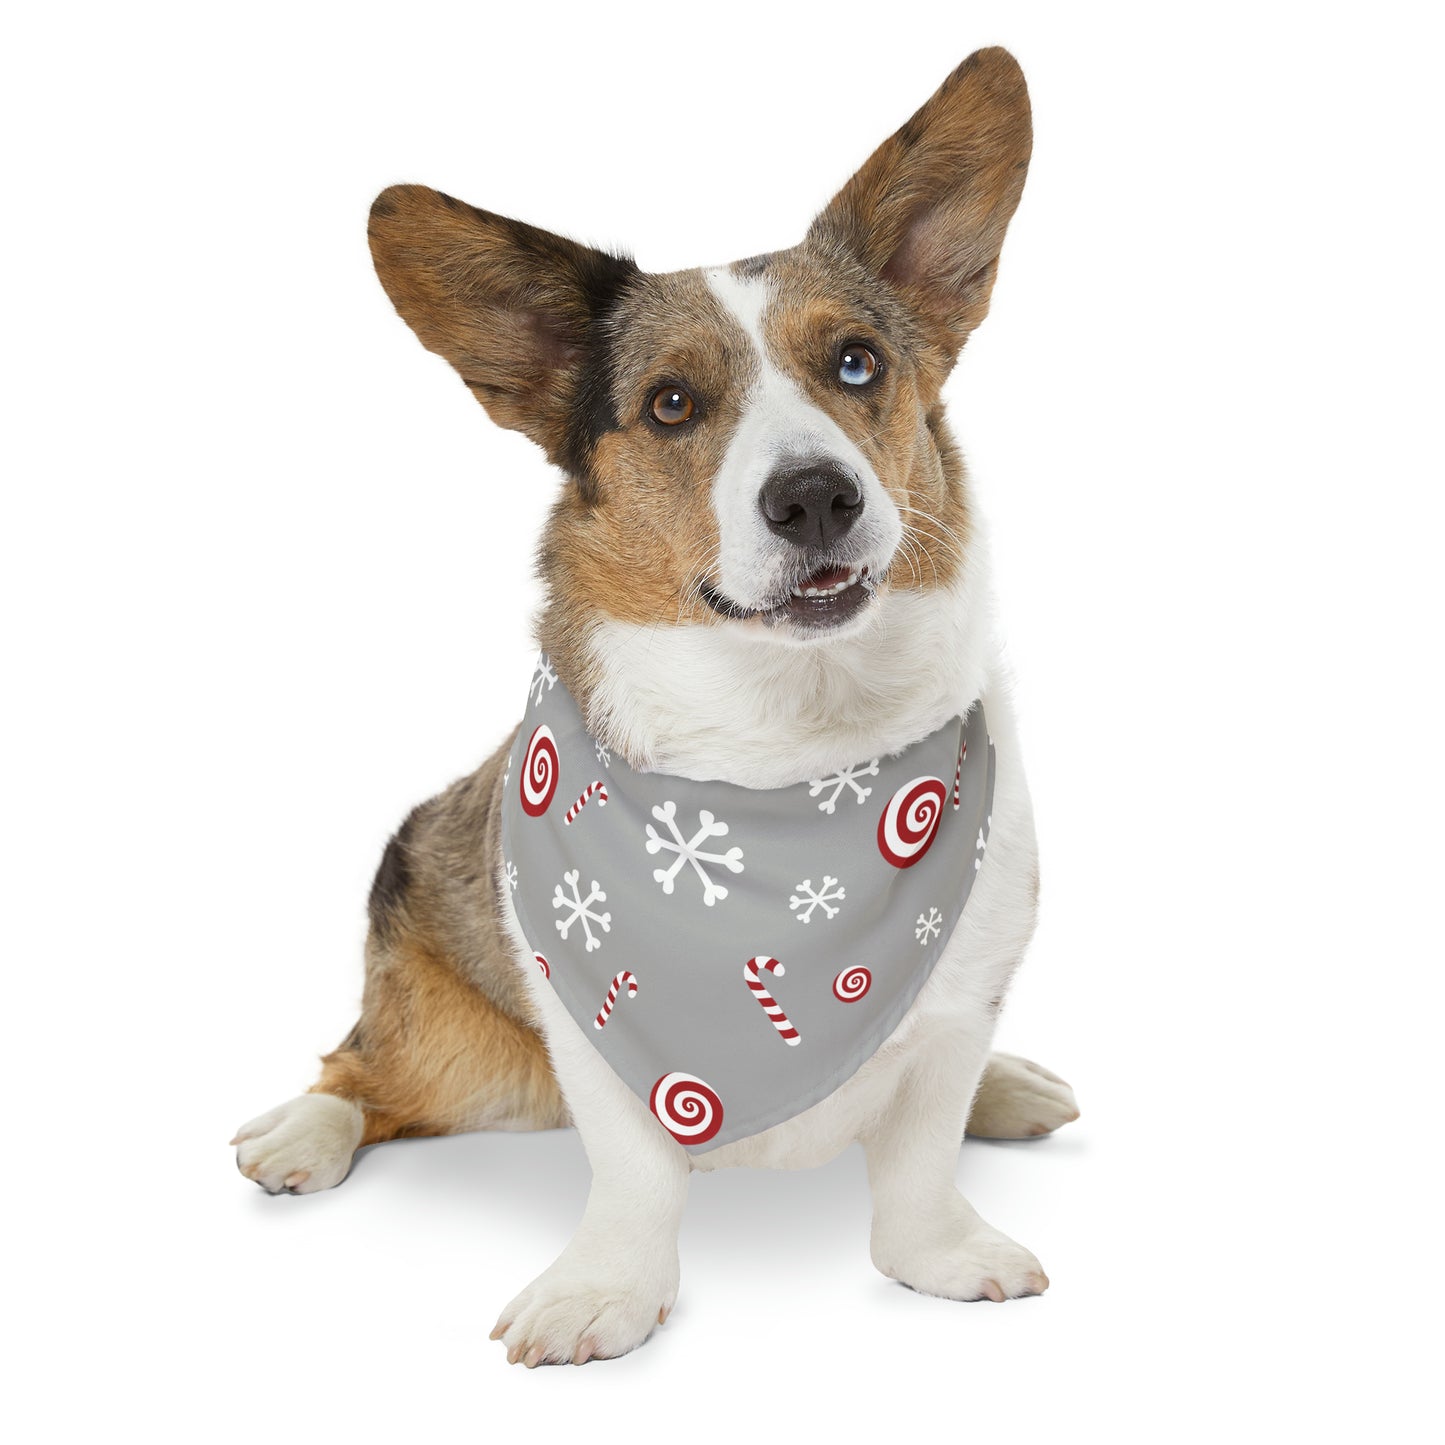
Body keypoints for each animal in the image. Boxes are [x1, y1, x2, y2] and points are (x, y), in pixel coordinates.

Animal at [231, 48, 1080, 1364]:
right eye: (671, 403)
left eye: (856, 363)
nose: (815, 497)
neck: (789, 761)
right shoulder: (593, 1033)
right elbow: (632, 1171)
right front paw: (604, 1292)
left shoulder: (957, 999)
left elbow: (921, 1149)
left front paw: (938, 1251)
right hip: (456, 1046)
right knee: (362, 1071)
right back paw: (302, 1130)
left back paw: (1010, 1088)